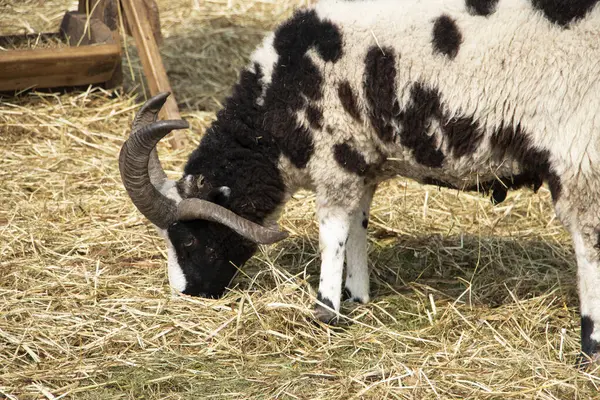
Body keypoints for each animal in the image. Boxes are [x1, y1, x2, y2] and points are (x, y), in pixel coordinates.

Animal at [118, 0, 600, 362]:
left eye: (190, 238)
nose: (189, 295)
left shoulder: (335, 153)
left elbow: (332, 230)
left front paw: (325, 310)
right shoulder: (360, 160)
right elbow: (358, 225)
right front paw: (358, 296)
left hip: (580, 151)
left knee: (588, 243)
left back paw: (589, 346)